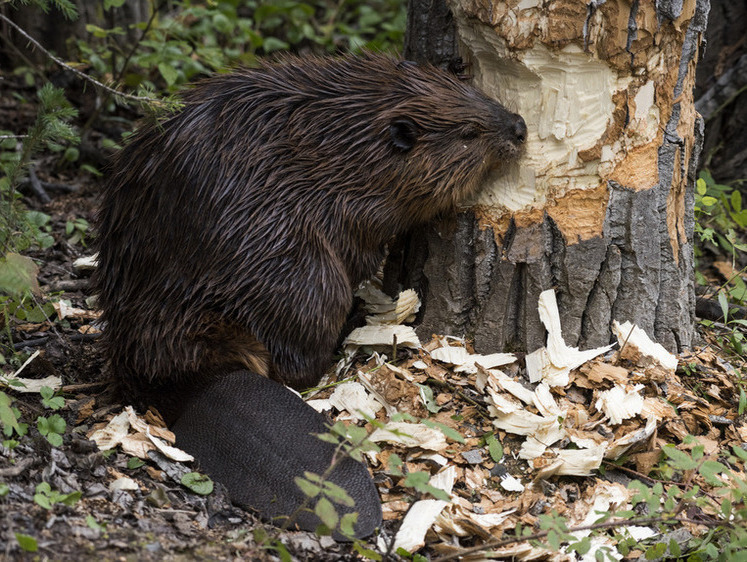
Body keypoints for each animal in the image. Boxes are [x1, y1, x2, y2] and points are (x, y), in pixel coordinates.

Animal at [92, 53, 524, 540]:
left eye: (480, 97)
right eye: (468, 133)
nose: (520, 127)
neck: (346, 139)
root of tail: (199, 381)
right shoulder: (353, 204)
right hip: (304, 277)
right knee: (299, 362)